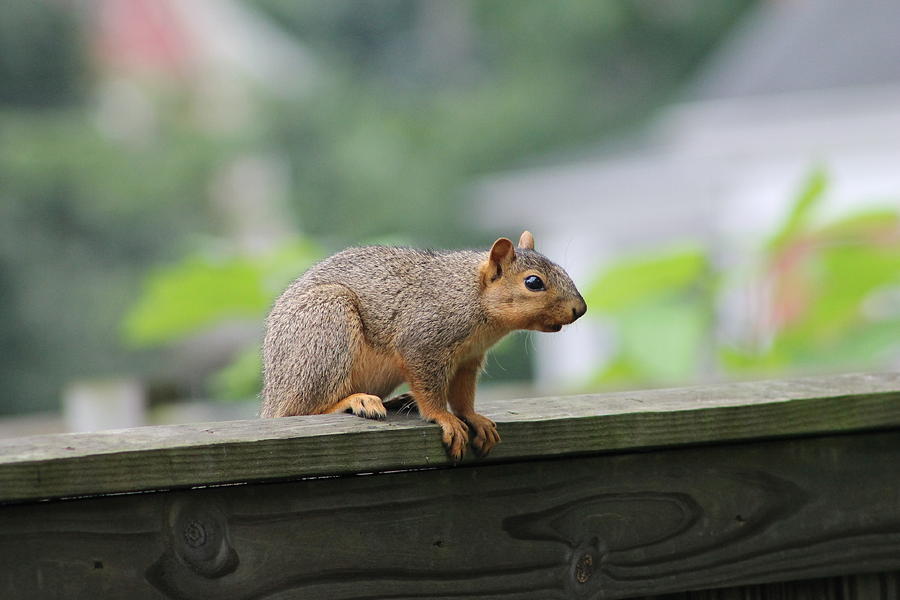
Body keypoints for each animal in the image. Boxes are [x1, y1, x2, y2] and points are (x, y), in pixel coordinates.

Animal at [256, 232, 588, 462]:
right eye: (533, 282)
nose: (580, 309)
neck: (471, 296)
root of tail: (272, 396)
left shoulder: (468, 359)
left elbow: (463, 395)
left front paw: (473, 418)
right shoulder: (423, 341)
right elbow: (430, 388)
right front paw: (444, 418)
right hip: (326, 325)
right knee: (302, 410)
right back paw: (356, 401)